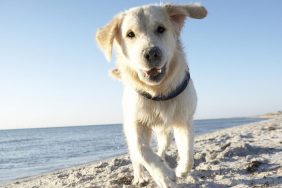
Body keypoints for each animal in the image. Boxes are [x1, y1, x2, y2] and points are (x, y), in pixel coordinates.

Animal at [97, 3, 207, 187]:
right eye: (130, 34)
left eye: (161, 29)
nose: (151, 53)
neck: (158, 92)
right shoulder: (135, 124)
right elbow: (142, 152)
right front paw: (164, 177)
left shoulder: (183, 120)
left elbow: (188, 154)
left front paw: (179, 170)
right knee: (136, 158)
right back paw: (140, 177)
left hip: (165, 133)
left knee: (161, 148)